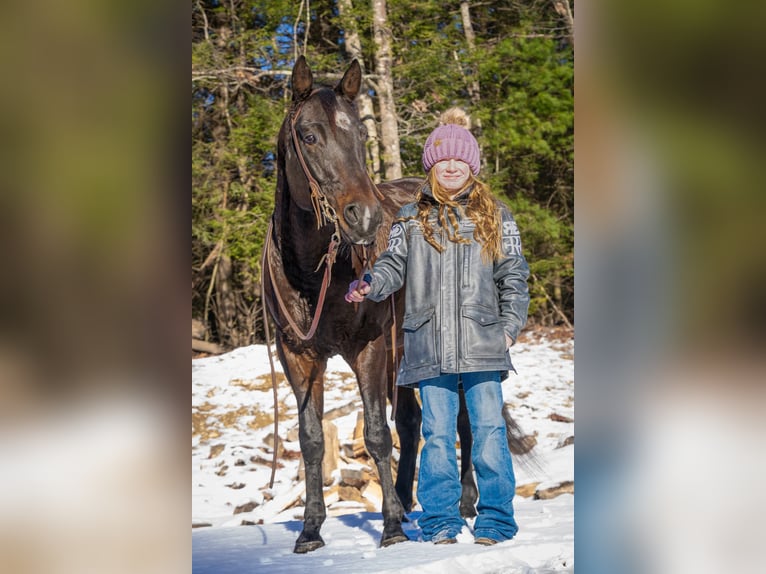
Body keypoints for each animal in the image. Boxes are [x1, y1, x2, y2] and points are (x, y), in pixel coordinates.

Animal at [264, 57, 536, 552]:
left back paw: (463, 504)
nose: (366, 218)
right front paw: (311, 529)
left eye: (360, 135)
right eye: (309, 135)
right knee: (411, 422)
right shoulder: (298, 357)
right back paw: (412, 501)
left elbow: (376, 433)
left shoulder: (368, 350)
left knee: (461, 424)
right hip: (405, 355)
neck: (312, 275)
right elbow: (311, 439)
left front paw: (390, 528)